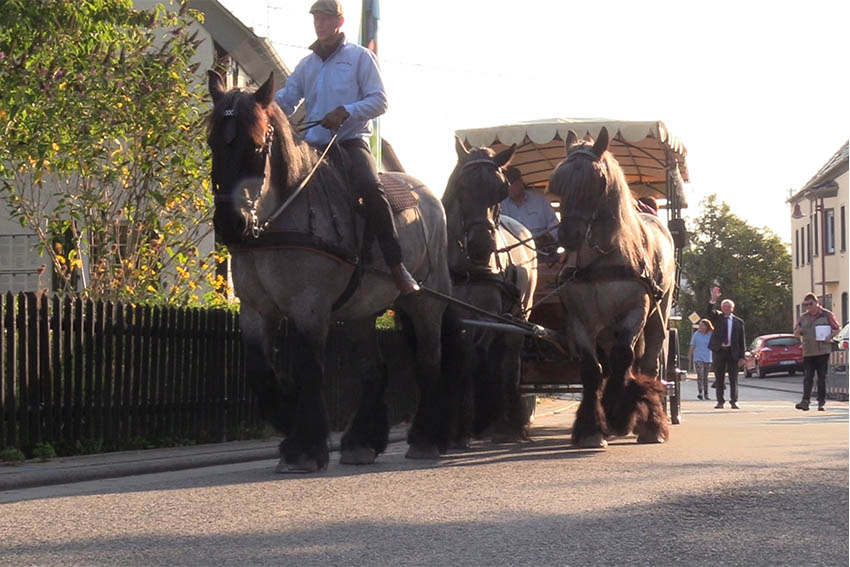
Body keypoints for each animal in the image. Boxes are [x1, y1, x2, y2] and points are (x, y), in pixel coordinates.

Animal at [205, 70, 458, 470]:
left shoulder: (310, 307)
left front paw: (304, 448)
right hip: (360, 312)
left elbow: (310, 369)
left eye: (257, 146)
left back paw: (425, 439)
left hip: (426, 304)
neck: (278, 224)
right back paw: (360, 442)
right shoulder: (255, 310)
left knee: (429, 362)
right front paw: (288, 421)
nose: (230, 224)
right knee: (374, 370)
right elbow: (260, 371)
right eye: (213, 143)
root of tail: (429, 197)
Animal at [444, 136, 536, 444]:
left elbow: (476, 358)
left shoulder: (487, 315)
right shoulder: (456, 315)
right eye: (461, 185)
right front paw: (456, 429)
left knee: (508, 360)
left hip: (518, 316)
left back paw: (510, 423)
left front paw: (471, 423)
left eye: (501, 190)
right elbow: (461, 357)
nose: (482, 246)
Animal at [548, 127, 676, 448]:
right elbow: (592, 370)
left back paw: (651, 425)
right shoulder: (579, 321)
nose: (568, 235)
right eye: (559, 183)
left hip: (658, 313)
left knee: (648, 362)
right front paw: (592, 429)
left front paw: (619, 415)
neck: (603, 258)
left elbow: (623, 358)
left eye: (597, 181)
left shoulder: (635, 311)